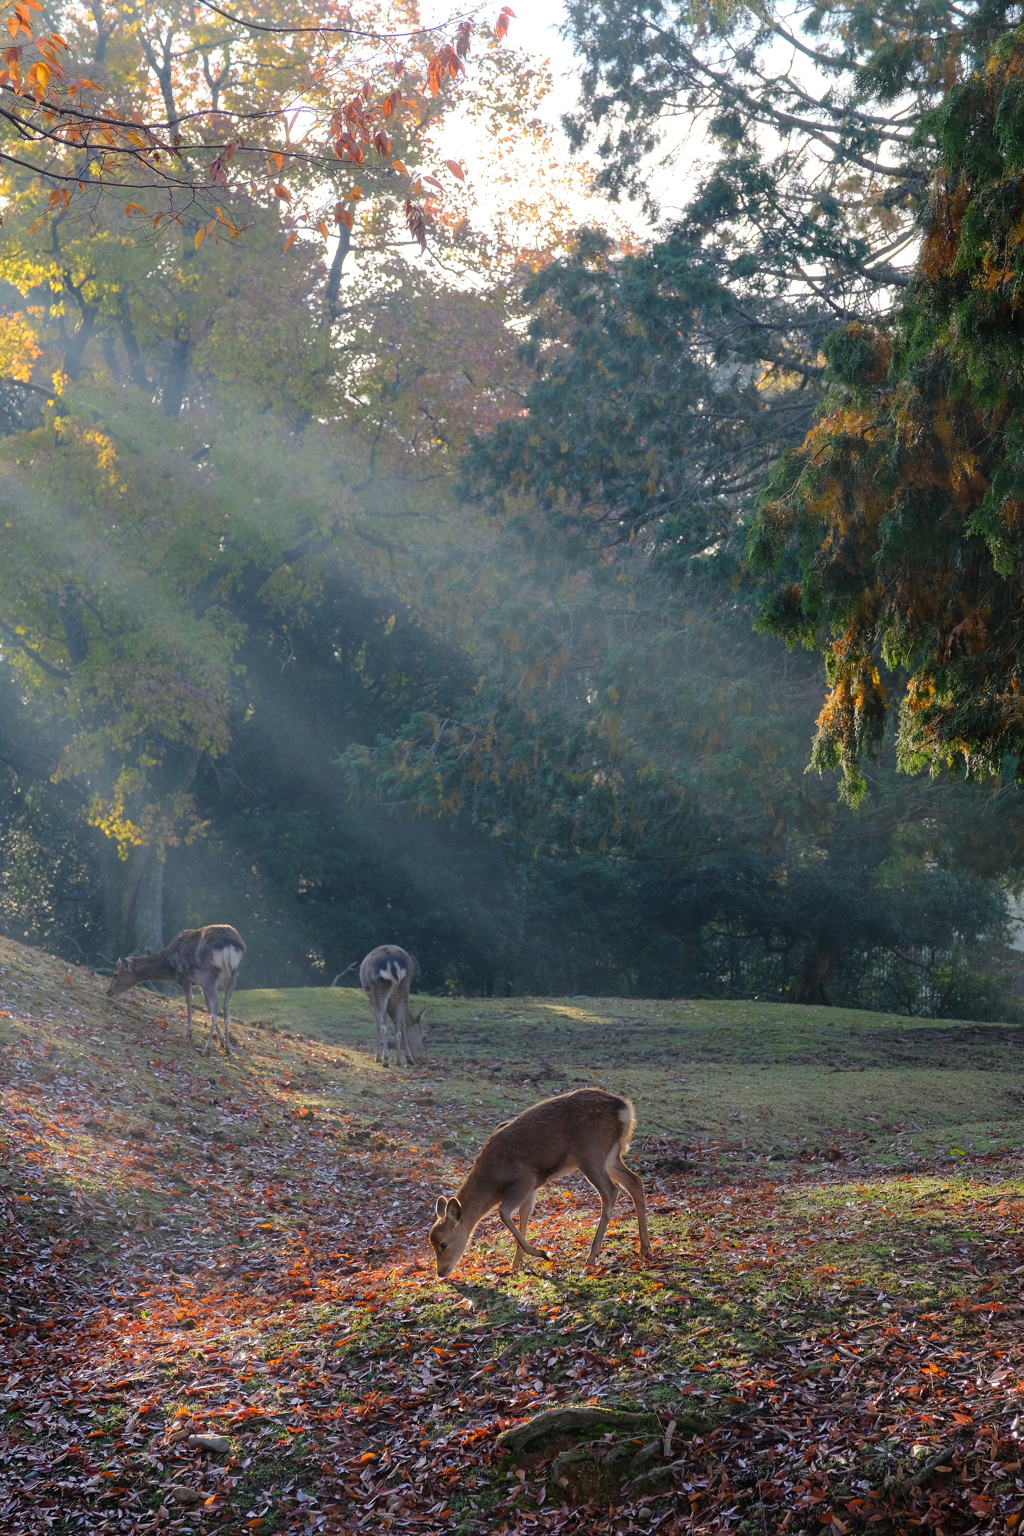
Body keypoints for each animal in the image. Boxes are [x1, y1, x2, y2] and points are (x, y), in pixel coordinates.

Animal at [106, 921, 245, 1056]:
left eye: (116, 974)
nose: (108, 991)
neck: (170, 966)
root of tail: (230, 944)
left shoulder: (184, 976)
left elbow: (189, 999)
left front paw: (189, 1032)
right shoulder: (200, 983)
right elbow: (207, 1006)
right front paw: (221, 1040)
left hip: (209, 973)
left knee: (216, 1004)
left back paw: (207, 1048)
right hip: (233, 975)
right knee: (225, 1006)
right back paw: (228, 1048)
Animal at [429, 1087, 654, 1277]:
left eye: (443, 1244)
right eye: (432, 1242)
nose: (441, 1273)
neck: (493, 1181)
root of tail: (625, 1108)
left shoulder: (524, 1180)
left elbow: (504, 1213)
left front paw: (541, 1253)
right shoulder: (532, 1187)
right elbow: (524, 1213)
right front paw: (516, 1262)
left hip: (591, 1153)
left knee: (610, 1191)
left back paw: (592, 1255)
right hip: (610, 1156)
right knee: (635, 1181)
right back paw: (645, 1248)